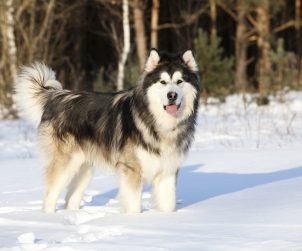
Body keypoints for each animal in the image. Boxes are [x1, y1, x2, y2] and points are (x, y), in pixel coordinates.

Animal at [14, 49, 199, 214]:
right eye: (162, 82)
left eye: (180, 81)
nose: (172, 95)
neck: (159, 122)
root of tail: (57, 97)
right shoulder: (132, 169)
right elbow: (134, 205)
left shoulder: (168, 171)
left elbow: (169, 204)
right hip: (65, 164)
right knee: (50, 196)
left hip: (84, 168)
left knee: (70, 199)